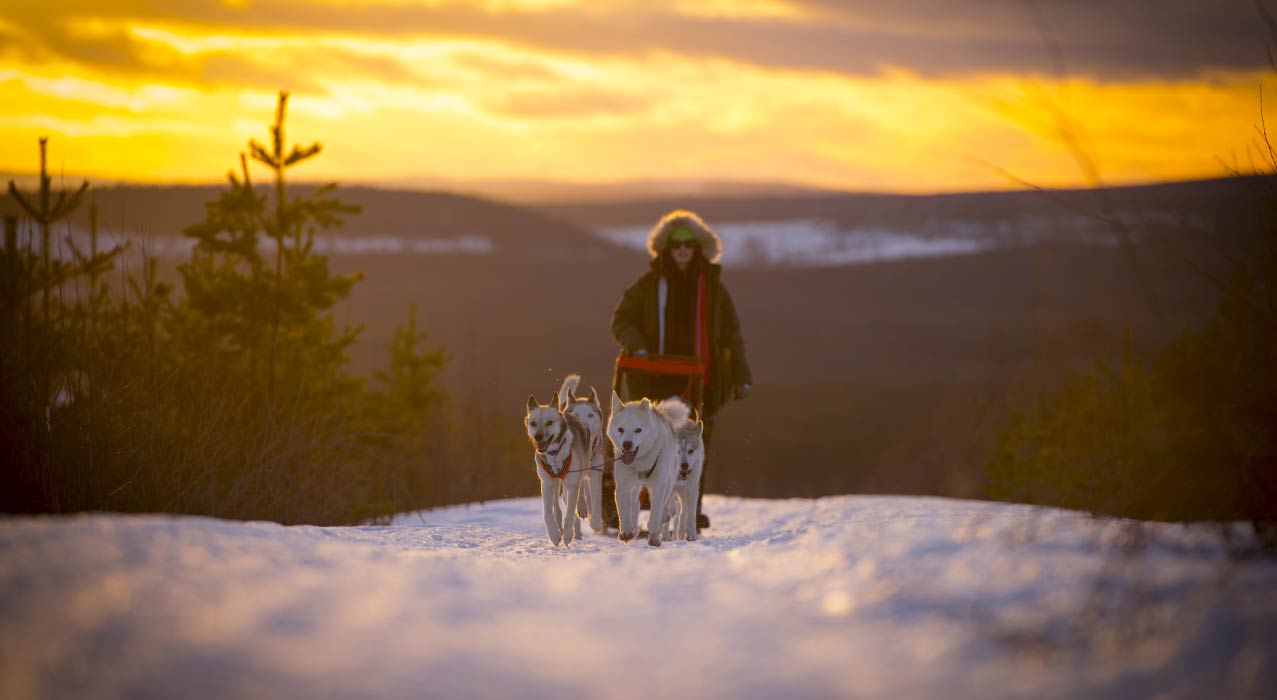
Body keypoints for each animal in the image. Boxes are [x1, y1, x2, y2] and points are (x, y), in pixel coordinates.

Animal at [523, 388, 592, 546]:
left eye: (549, 422)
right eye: (533, 423)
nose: (538, 436)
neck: (555, 454)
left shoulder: (572, 483)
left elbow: (571, 513)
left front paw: (567, 535)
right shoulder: (547, 483)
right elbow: (548, 513)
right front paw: (554, 535)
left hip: (582, 468)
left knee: (581, 487)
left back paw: (581, 509)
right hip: (555, 484)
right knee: (557, 506)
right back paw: (561, 526)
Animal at [556, 375, 605, 533]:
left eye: (590, 415)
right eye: (576, 415)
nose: (584, 425)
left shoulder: (596, 472)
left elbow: (595, 495)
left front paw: (596, 522)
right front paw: (581, 508)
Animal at [607, 388, 689, 546]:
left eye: (638, 430)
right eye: (620, 429)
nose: (627, 444)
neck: (640, 464)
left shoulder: (658, 485)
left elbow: (656, 512)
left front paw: (654, 535)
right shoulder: (623, 486)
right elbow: (624, 510)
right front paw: (626, 531)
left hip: (668, 481)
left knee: (665, 507)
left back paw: (662, 520)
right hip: (635, 485)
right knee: (635, 502)